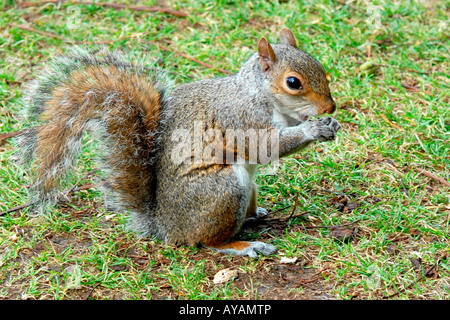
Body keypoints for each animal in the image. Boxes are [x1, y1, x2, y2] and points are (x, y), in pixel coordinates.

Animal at [18, 27, 342, 258]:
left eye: (320, 66)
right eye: (293, 82)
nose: (331, 107)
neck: (260, 95)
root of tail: (164, 225)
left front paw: (329, 125)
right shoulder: (241, 119)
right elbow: (266, 147)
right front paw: (314, 129)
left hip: (245, 189)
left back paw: (255, 215)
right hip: (222, 189)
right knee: (205, 240)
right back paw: (243, 246)